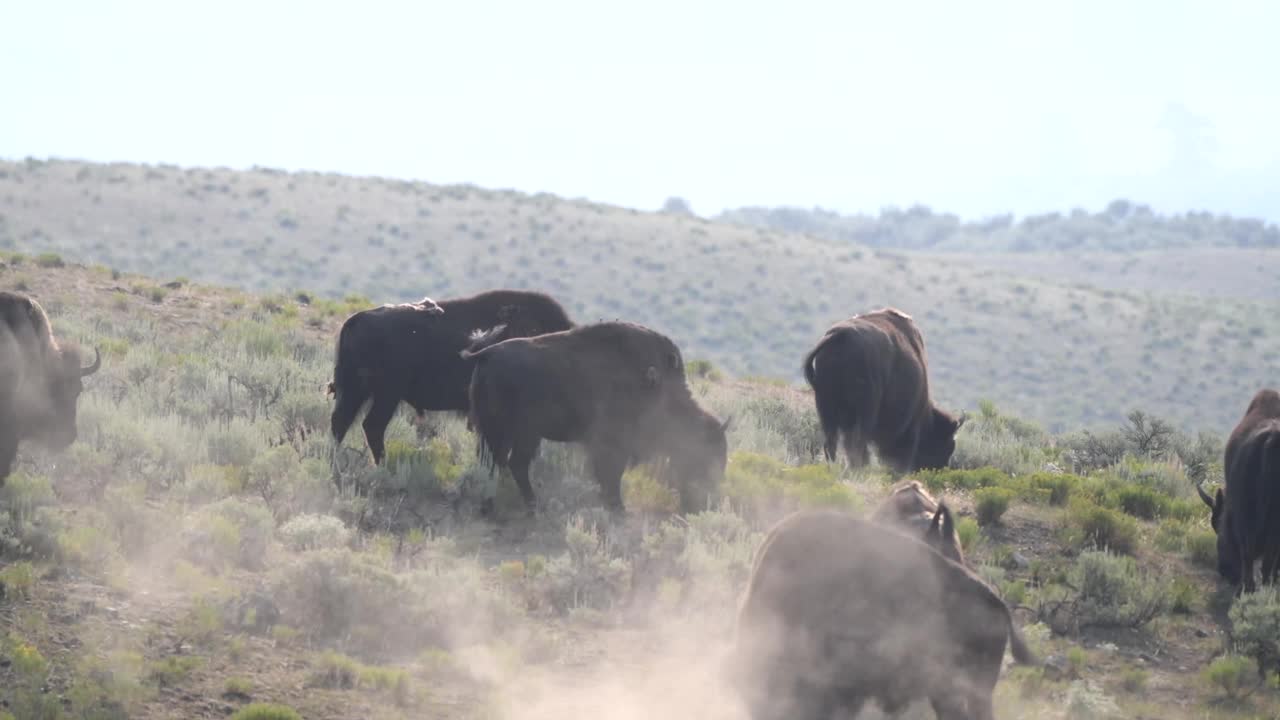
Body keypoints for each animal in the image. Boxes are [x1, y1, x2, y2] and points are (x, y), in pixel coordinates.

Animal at [798, 304, 962, 474]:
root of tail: (840, 335)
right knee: (856, 445)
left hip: (826, 409)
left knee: (833, 445)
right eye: (948, 446)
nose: (940, 467)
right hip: (863, 412)